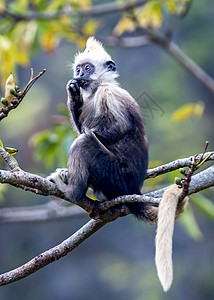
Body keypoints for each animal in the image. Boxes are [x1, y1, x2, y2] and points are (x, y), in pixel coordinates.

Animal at [47, 37, 188, 290]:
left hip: (116, 176)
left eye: (88, 68)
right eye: (79, 69)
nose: (79, 74)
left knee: (84, 141)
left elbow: (113, 129)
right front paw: (73, 95)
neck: (96, 90)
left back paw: (71, 191)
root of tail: (135, 188)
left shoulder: (109, 94)